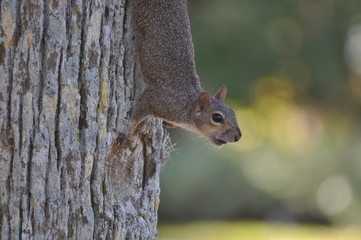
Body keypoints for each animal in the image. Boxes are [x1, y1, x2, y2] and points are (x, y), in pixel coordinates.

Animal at [128, 0, 240, 146]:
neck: (188, 105)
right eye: (217, 117)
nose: (239, 136)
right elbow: (139, 111)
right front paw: (130, 129)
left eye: (233, 113)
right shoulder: (159, 100)